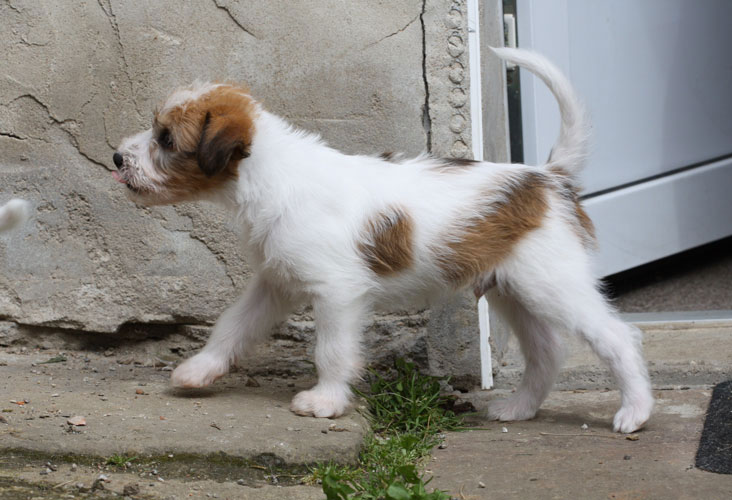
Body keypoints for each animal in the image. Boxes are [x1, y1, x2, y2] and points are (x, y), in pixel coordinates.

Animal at [112, 48, 653, 433]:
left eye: (165, 139)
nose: (117, 158)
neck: (270, 175)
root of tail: (547, 178)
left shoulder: (336, 291)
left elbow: (331, 350)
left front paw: (325, 401)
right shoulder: (275, 284)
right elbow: (230, 327)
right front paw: (199, 370)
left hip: (553, 284)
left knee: (617, 338)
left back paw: (636, 411)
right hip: (513, 290)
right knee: (547, 352)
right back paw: (520, 408)